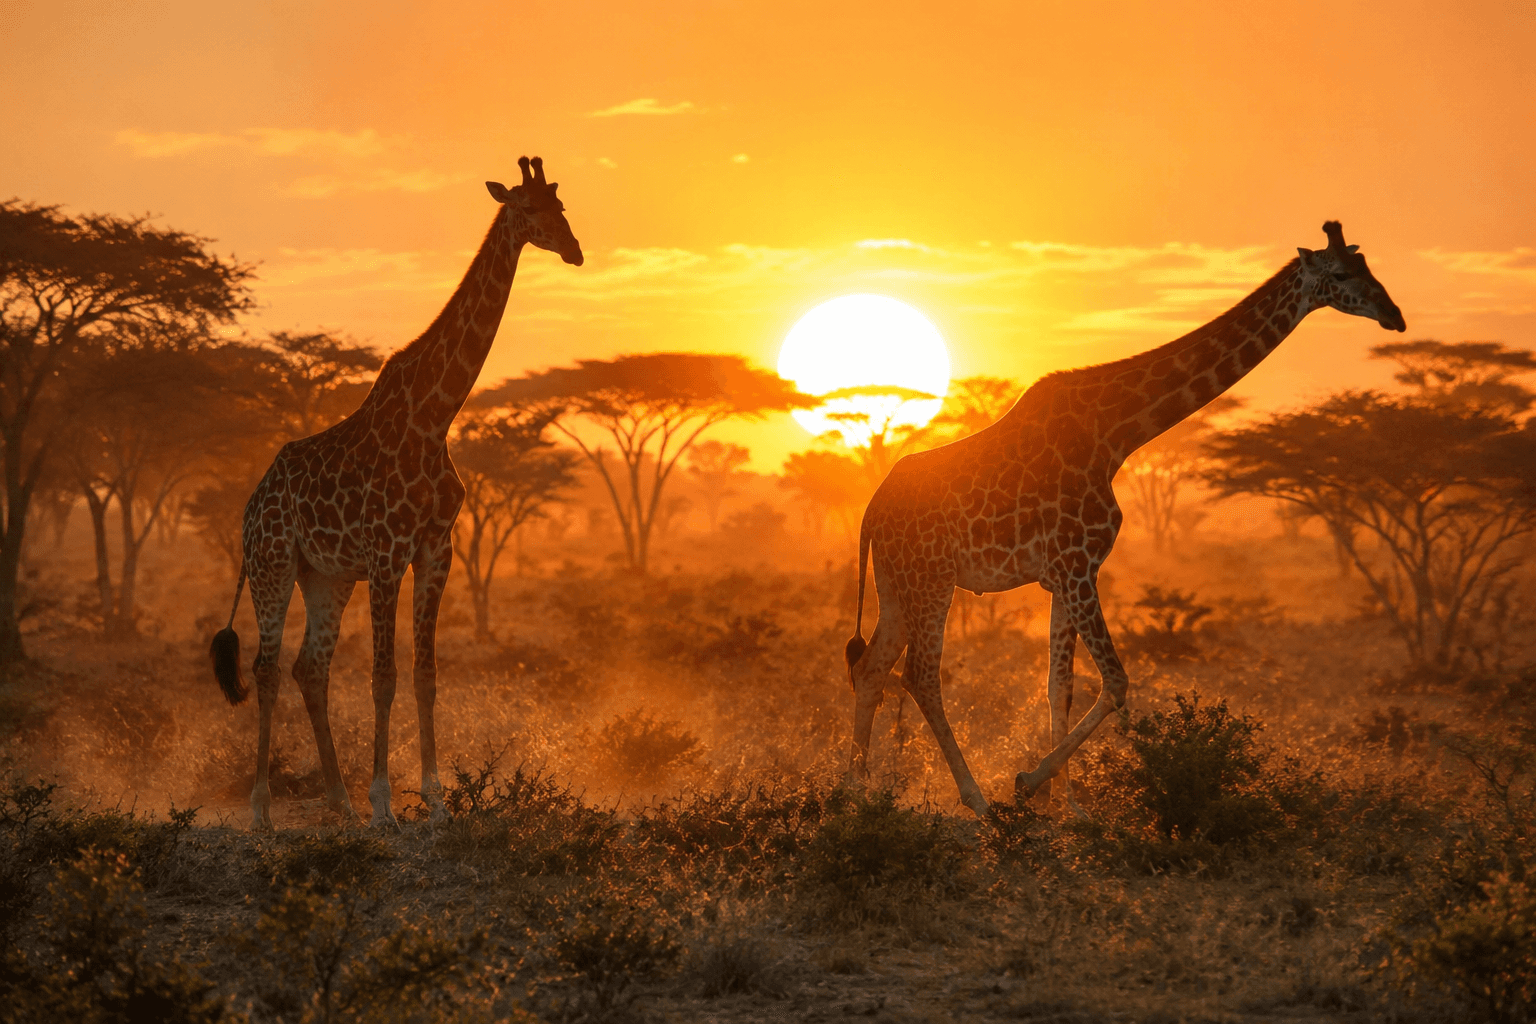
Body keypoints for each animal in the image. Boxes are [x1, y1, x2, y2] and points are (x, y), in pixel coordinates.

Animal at [210, 157, 583, 829]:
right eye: (529, 209)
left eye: (563, 208)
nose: (575, 251)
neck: (434, 416)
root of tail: (250, 506)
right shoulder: (387, 551)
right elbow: (382, 675)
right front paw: (385, 800)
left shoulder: (436, 549)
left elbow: (424, 673)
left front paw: (434, 797)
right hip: (273, 564)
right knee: (267, 668)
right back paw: (263, 811)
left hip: (325, 576)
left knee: (310, 669)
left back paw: (340, 803)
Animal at [844, 222, 1405, 818]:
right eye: (1341, 274)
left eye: (1369, 267)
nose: (1394, 314)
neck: (1116, 432)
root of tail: (872, 509)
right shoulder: (1077, 565)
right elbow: (1115, 681)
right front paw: (1029, 783)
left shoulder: (1062, 575)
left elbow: (1059, 685)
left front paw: (1067, 807)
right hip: (932, 579)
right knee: (920, 676)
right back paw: (975, 800)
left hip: (897, 583)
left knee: (872, 668)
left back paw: (852, 792)